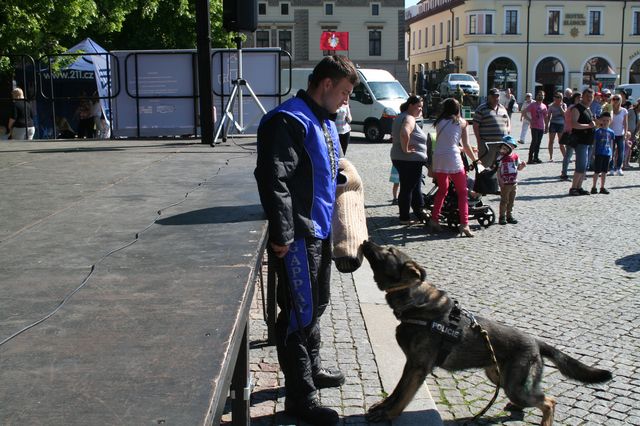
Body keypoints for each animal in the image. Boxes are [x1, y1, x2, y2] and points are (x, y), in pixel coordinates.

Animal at [362, 241, 612, 424]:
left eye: (389, 251)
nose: (365, 240)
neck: (416, 300)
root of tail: (536, 341)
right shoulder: (410, 365)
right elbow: (397, 390)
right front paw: (384, 407)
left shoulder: (417, 367)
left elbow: (403, 396)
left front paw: (389, 414)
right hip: (498, 376)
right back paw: (516, 408)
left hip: (515, 386)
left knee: (549, 401)